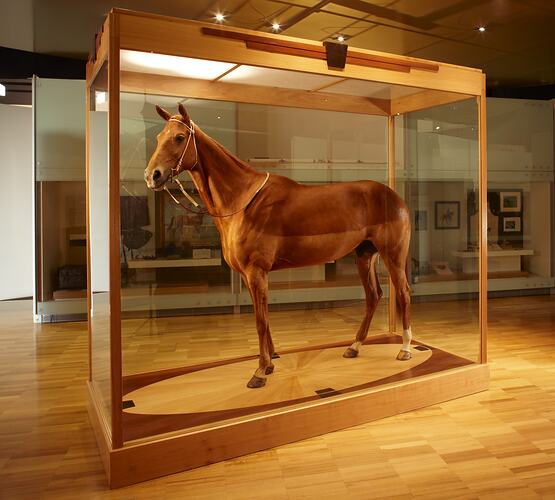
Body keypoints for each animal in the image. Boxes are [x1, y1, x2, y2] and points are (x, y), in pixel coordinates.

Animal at [146, 103, 414, 388]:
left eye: (179, 137)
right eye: (159, 138)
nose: (152, 175)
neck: (243, 201)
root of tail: (395, 197)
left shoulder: (256, 271)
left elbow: (260, 320)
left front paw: (260, 371)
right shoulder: (249, 276)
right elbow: (262, 317)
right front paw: (270, 362)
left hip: (393, 255)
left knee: (403, 293)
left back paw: (405, 348)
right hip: (364, 255)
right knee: (373, 296)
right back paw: (354, 346)